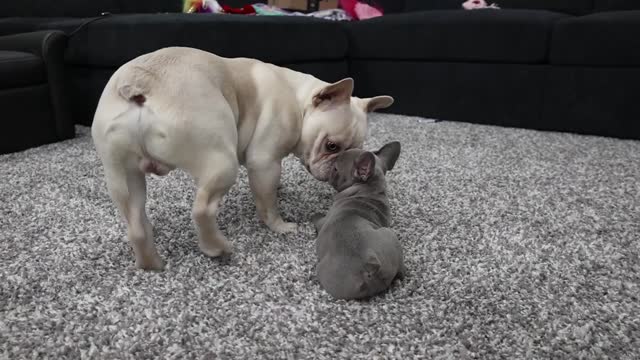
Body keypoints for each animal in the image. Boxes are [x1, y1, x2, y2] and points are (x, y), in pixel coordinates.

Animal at [312, 141, 404, 300]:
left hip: (323, 272)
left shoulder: (323, 222)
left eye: (335, 169)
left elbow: (318, 219)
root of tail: (370, 266)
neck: (369, 189)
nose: (331, 164)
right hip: (389, 234)